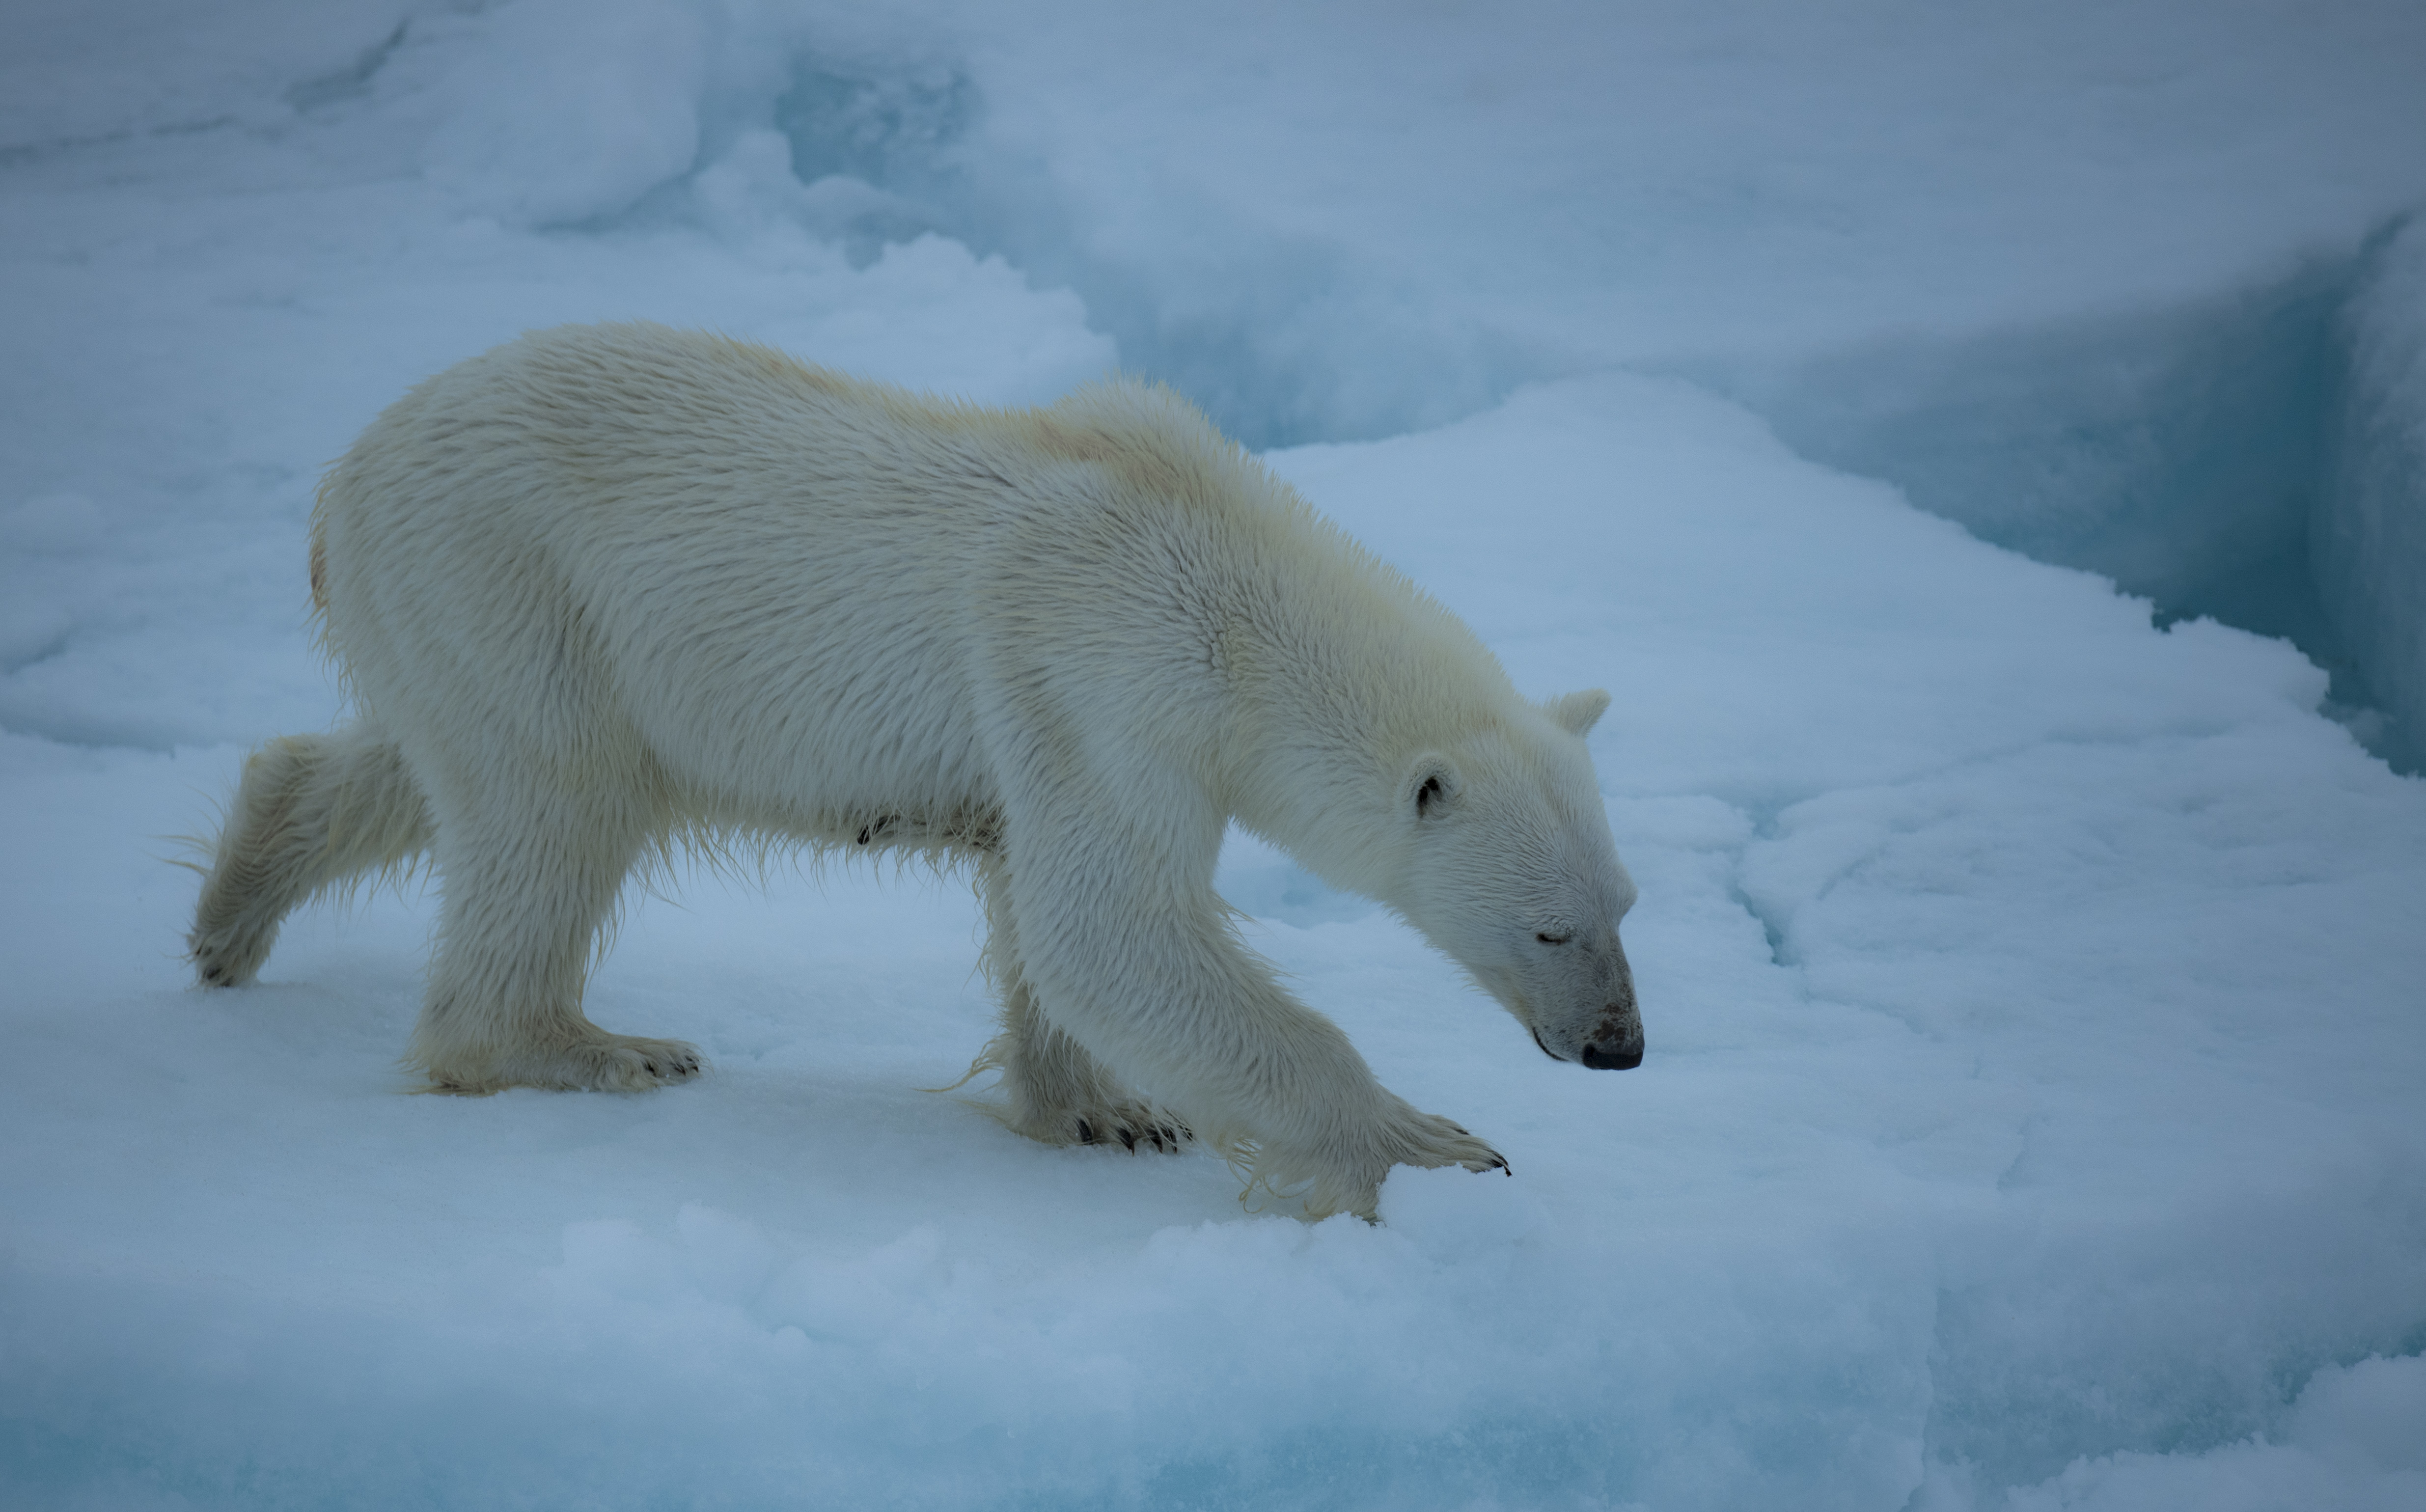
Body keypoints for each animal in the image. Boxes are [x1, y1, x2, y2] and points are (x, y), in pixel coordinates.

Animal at [184, 325, 1630, 1223]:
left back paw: (234, 903)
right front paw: (1429, 1142)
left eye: (1625, 906)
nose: (1617, 1046)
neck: (1217, 565)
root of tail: (346, 478)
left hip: (464, 608)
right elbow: (1105, 925)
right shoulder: (1103, 666)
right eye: (1546, 928)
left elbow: (1051, 919)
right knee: (555, 801)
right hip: (513, 571)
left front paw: (1106, 1112)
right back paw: (599, 1046)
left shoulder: (1080, 710)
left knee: (431, 765)